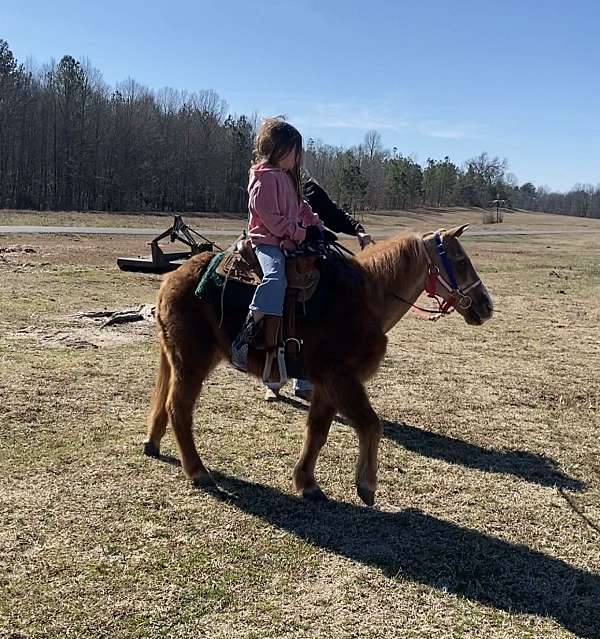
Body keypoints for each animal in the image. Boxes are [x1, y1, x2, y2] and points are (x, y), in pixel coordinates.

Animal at [144, 225, 492, 504]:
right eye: (460, 262)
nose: (487, 305)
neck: (368, 298)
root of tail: (171, 278)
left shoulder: (326, 385)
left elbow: (318, 431)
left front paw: (307, 482)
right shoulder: (343, 379)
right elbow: (371, 424)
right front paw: (366, 485)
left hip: (175, 358)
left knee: (162, 402)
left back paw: (153, 443)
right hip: (192, 361)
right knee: (178, 408)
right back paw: (197, 470)